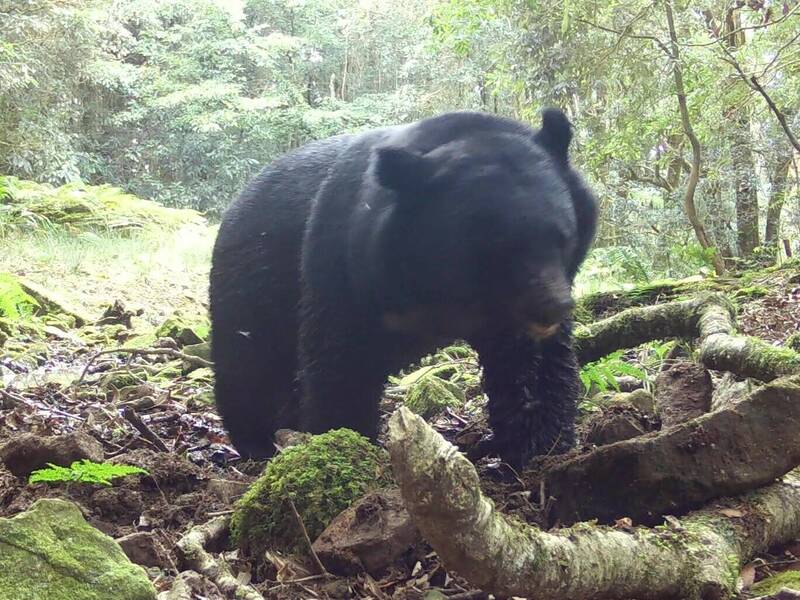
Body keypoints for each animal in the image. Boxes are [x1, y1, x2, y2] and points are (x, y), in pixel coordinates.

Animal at [209, 109, 596, 468]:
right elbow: (341, 359)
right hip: (252, 290)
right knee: (249, 368)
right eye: (494, 250)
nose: (552, 307)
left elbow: (530, 364)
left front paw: (542, 445)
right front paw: (346, 443)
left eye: (563, 237)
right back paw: (257, 441)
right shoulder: (345, 266)